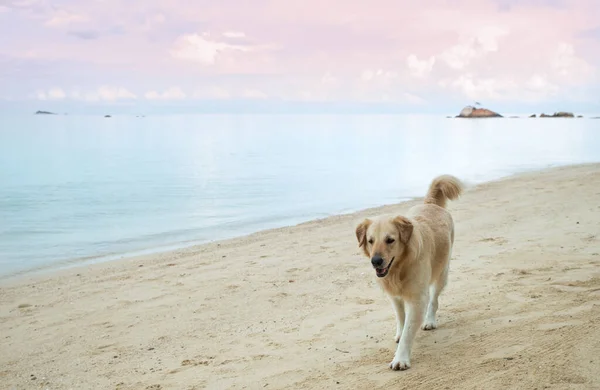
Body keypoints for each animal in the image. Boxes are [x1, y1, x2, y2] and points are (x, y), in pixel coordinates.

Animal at [356, 175, 464, 370]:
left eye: (390, 240)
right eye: (370, 241)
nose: (376, 261)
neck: (399, 268)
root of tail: (430, 203)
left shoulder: (416, 298)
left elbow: (409, 331)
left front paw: (400, 359)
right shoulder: (395, 296)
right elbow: (401, 318)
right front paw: (400, 333)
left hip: (442, 273)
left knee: (433, 299)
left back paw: (429, 320)